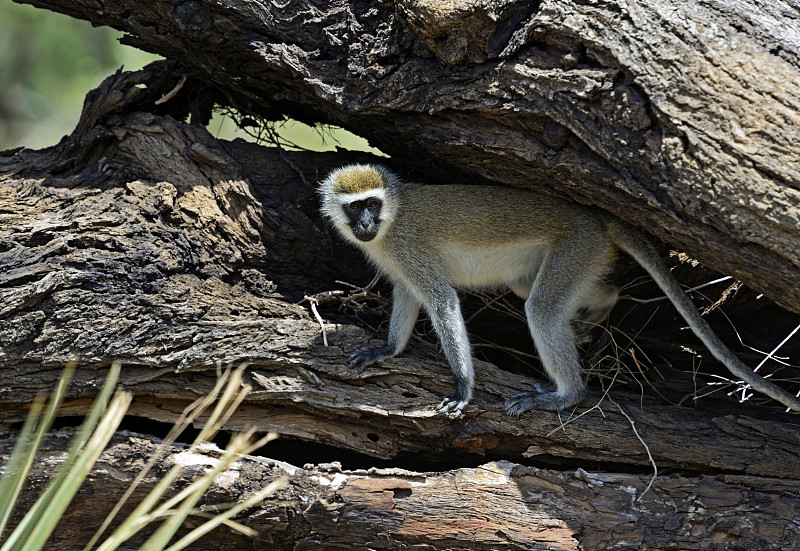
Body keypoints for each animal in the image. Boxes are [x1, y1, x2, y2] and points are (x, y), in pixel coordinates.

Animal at [318, 163, 800, 414]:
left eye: (372, 204)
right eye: (355, 208)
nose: (365, 224)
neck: (391, 222)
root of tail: (595, 216)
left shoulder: (408, 247)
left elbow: (441, 300)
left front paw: (463, 388)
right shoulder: (396, 262)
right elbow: (407, 296)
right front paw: (387, 349)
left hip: (577, 246)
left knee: (543, 309)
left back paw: (565, 396)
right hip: (577, 256)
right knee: (537, 291)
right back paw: (601, 308)